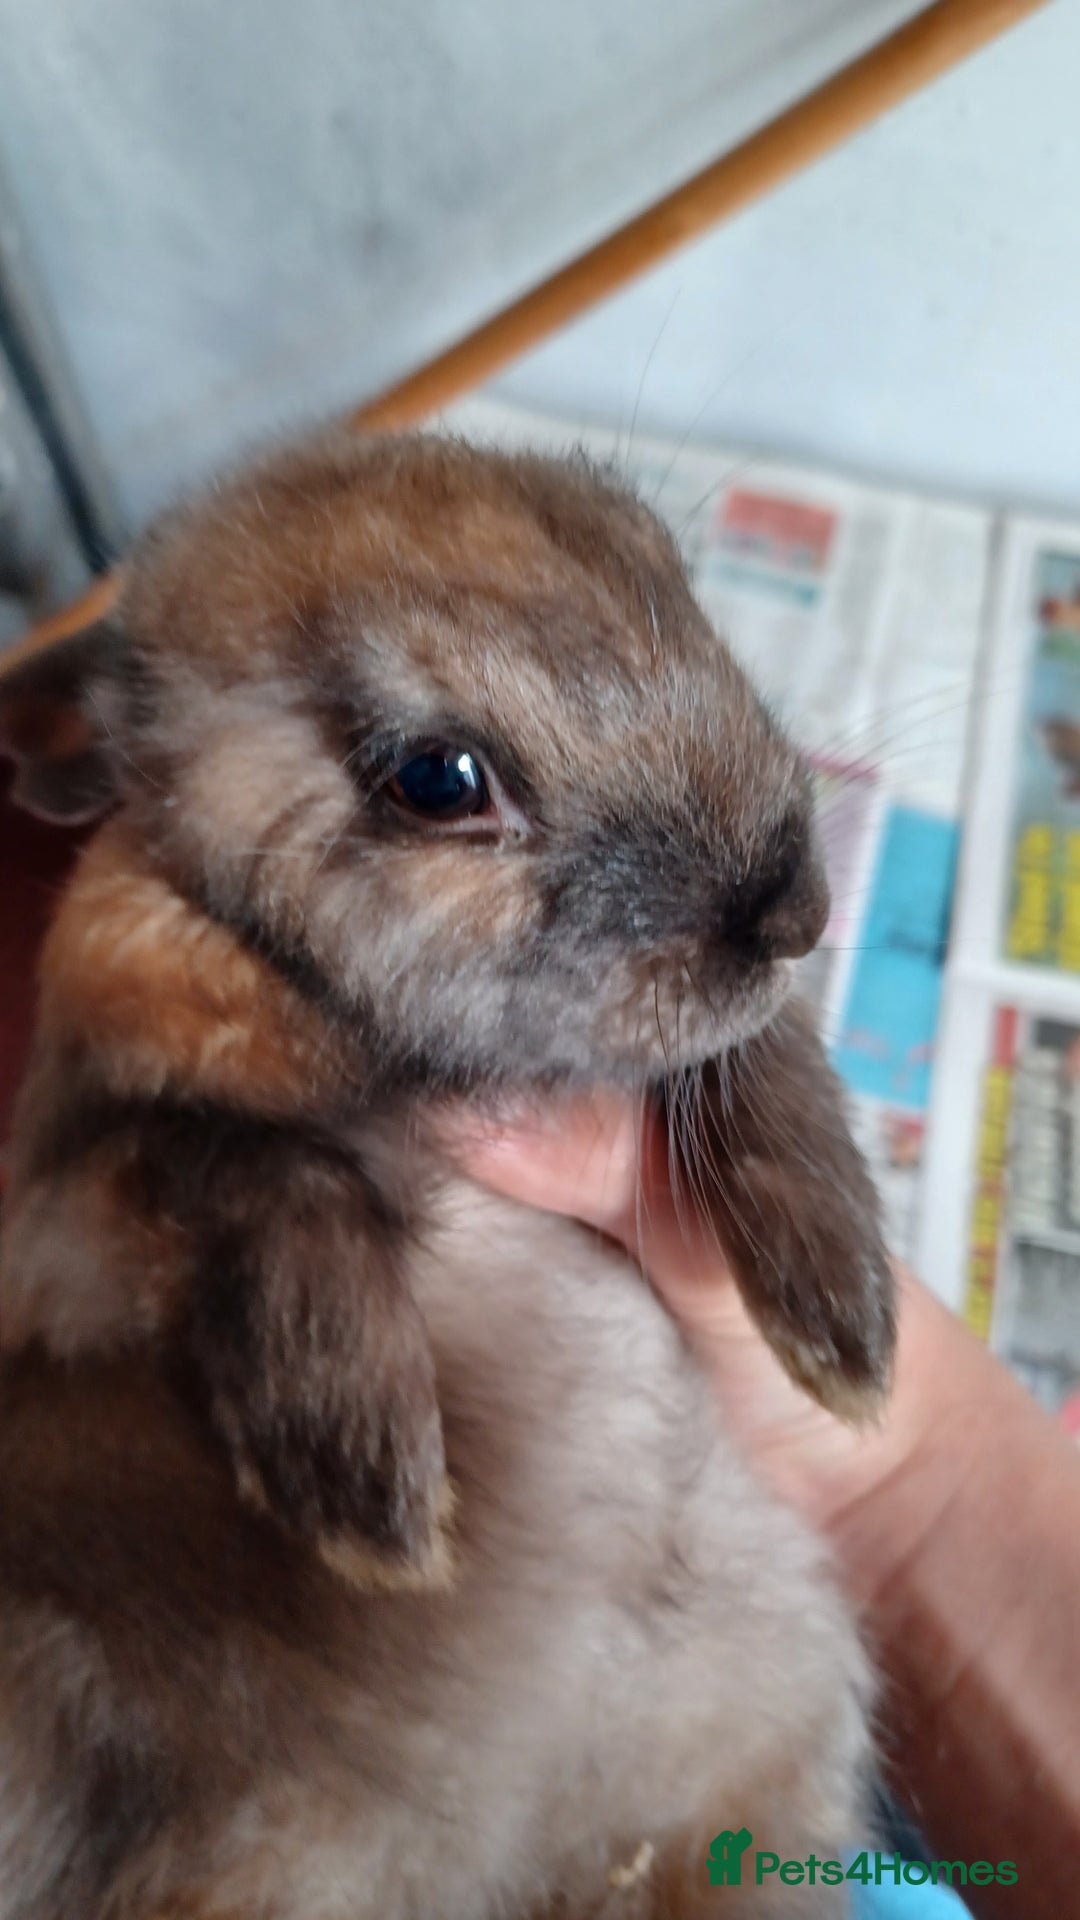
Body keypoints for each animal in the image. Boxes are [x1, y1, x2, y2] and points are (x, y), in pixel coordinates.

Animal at [0, 427, 894, 1920]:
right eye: (437, 780)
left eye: (669, 570)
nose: (794, 912)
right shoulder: (86, 1188)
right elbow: (252, 1165)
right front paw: (368, 1492)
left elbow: (764, 1065)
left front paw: (844, 1331)